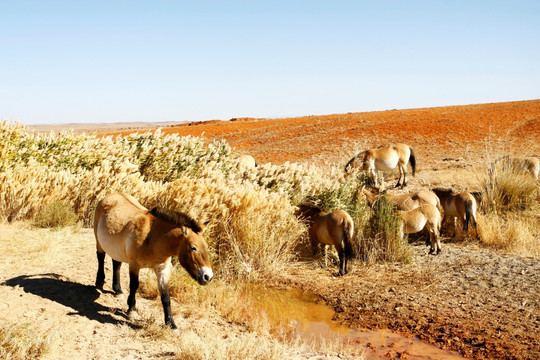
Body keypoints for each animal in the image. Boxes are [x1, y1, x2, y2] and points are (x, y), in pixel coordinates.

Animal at [93, 193, 213, 328]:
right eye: (193, 247)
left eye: (206, 247)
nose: (208, 276)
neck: (152, 237)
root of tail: (110, 195)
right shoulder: (134, 265)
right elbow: (134, 286)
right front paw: (131, 309)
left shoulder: (162, 270)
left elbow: (165, 296)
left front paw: (171, 324)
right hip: (99, 241)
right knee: (100, 258)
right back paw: (99, 282)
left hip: (116, 249)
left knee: (116, 264)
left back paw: (118, 290)